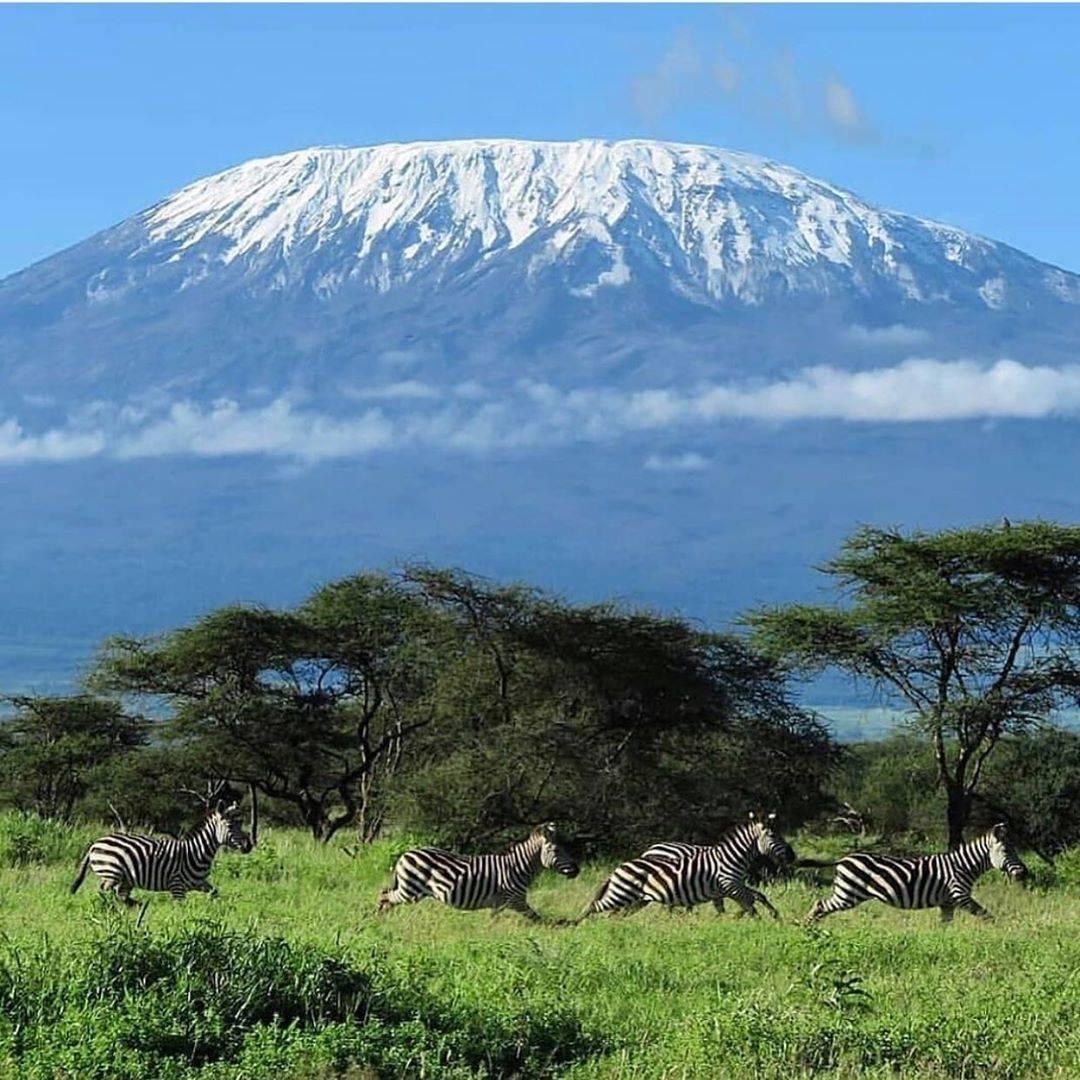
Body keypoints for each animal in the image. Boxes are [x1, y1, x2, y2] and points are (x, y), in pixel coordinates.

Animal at [71, 794, 252, 902]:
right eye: (230, 825)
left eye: (241, 823)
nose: (249, 846)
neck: (197, 852)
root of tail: (96, 843)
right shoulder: (177, 886)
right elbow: (181, 911)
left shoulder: (199, 882)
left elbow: (215, 893)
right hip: (111, 872)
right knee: (103, 891)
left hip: (124, 878)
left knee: (119, 896)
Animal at [380, 820, 583, 924]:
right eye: (557, 850)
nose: (577, 870)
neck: (519, 867)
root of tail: (404, 855)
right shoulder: (515, 900)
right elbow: (538, 918)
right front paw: (557, 926)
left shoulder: (499, 903)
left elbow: (493, 920)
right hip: (410, 890)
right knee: (385, 895)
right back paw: (380, 917)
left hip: (410, 890)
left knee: (385, 894)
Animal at [583, 812, 794, 924]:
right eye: (774, 836)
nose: (792, 856)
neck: (731, 857)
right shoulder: (729, 885)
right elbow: (749, 900)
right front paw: (754, 920)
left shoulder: (730, 887)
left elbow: (757, 896)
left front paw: (773, 916)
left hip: (638, 899)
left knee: (616, 913)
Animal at [803, 820, 1028, 924]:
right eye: (1007, 851)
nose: (1022, 873)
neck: (964, 866)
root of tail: (843, 858)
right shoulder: (959, 895)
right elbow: (986, 914)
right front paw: (999, 929)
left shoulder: (947, 902)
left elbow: (945, 925)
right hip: (848, 894)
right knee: (820, 904)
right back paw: (807, 927)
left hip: (846, 894)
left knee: (822, 906)